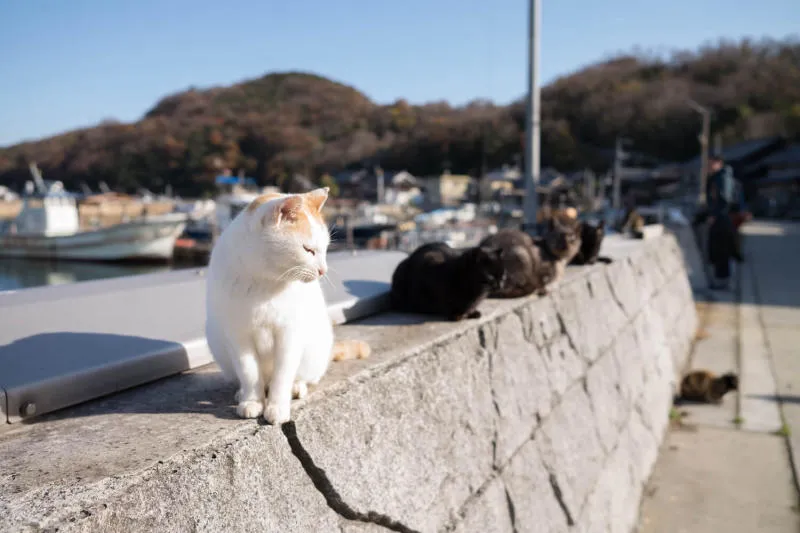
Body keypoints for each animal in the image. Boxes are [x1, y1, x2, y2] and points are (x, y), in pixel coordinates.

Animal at [206, 187, 368, 424]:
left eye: (325, 249)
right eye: (308, 250)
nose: (323, 270)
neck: (264, 282)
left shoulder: (289, 334)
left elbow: (282, 375)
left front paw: (277, 407)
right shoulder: (238, 336)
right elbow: (249, 372)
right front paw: (252, 401)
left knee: (302, 376)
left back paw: (296, 387)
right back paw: (242, 393)